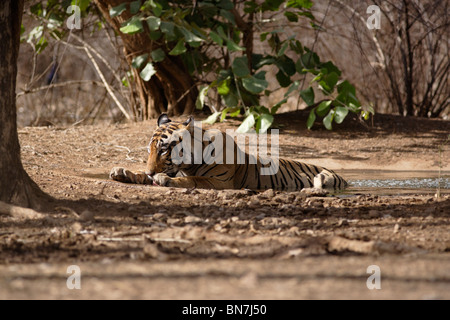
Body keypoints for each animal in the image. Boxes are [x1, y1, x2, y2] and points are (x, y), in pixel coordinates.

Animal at [110, 114, 348, 191]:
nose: (151, 173)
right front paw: (122, 172)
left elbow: (193, 180)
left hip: (324, 177)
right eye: (150, 150)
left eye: (163, 149)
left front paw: (162, 178)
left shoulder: (220, 181)